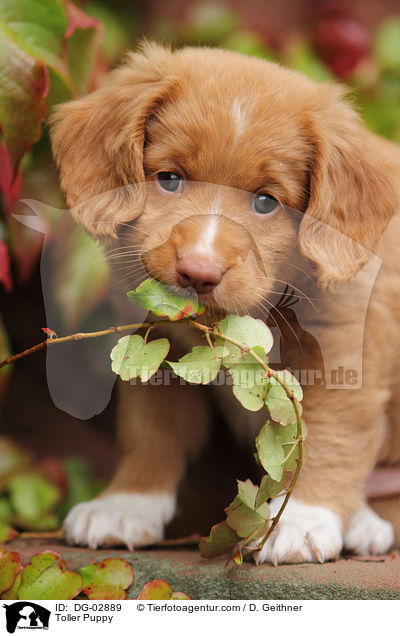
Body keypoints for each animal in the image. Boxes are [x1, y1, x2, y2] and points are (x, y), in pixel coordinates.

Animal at [49, 42, 400, 564]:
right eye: (169, 179)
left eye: (266, 202)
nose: (198, 272)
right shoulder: (157, 345)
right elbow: (149, 429)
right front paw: (126, 503)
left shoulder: (344, 346)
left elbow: (328, 436)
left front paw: (301, 520)